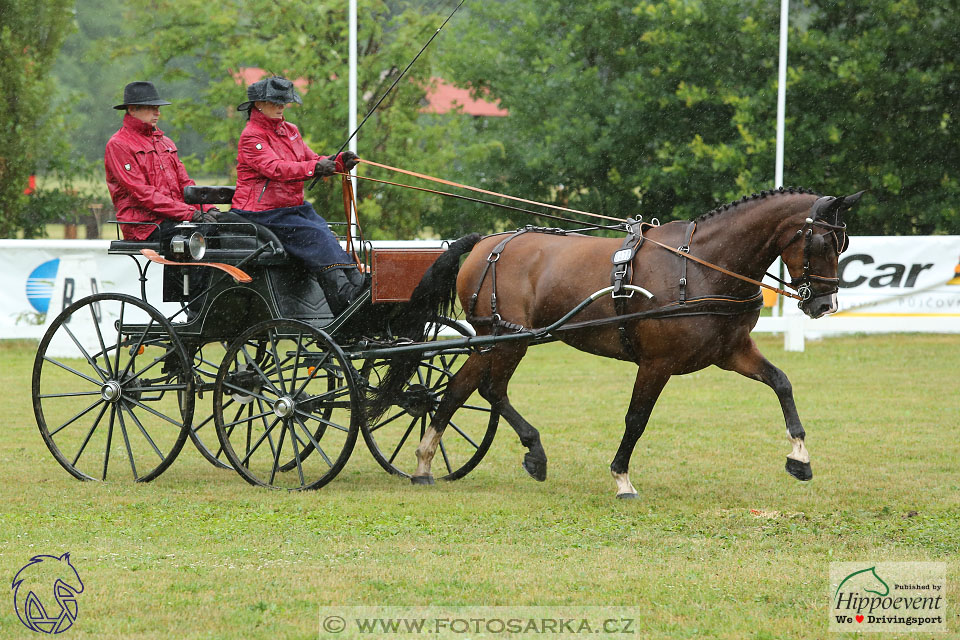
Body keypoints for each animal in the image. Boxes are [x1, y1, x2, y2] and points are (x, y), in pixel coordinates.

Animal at [374, 188, 864, 498]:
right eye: (822, 241)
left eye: (844, 244)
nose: (824, 303)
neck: (701, 266)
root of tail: (488, 243)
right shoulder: (656, 363)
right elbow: (636, 419)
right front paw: (621, 478)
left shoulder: (731, 352)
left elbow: (781, 382)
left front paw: (799, 457)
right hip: (508, 339)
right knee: (489, 388)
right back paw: (530, 452)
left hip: (495, 339)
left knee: (461, 388)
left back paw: (425, 464)